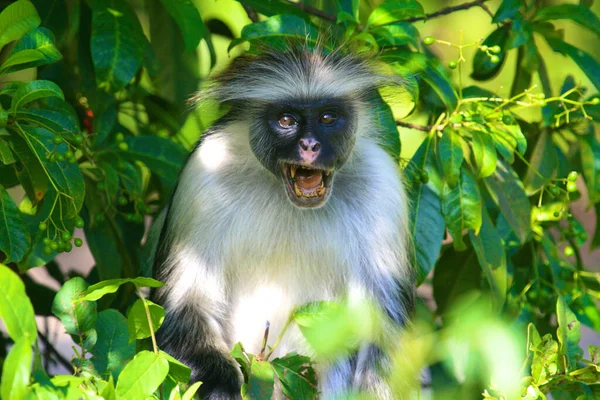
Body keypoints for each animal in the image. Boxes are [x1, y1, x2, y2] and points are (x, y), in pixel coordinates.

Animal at [149, 44, 412, 400]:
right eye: (287, 120)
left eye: (328, 118)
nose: (310, 145)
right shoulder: (204, 175)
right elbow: (186, 310)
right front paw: (221, 386)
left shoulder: (381, 187)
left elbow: (380, 337)